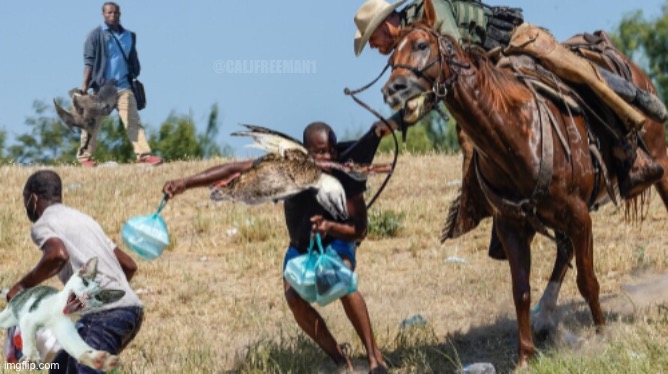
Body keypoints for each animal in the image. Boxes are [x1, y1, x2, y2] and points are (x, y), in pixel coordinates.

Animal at [380, 0, 668, 368]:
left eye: (420, 45)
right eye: (391, 55)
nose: (393, 89)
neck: (514, 131)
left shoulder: (578, 214)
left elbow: (587, 280)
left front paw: (603, 335)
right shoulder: (512, 225)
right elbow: (521, 291)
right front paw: (525, 357)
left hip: (659, 161)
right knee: (563, 251)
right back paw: (545, 314)